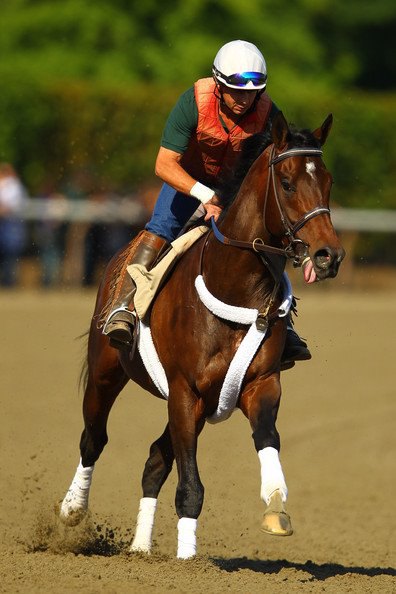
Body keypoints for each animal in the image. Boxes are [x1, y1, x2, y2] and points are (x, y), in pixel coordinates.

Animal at [58, 110, 344, 556]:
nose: (328, 255)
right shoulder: (184, 389)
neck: (234, 284)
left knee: (156, 458)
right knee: (94, 438)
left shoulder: (258, 383)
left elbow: (267, 436)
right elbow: (190, 487)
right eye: (287, 183)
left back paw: (140, 548)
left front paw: (275, 508)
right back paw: (73, 508)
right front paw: (188, 560)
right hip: (107, 370)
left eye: (328, 180)